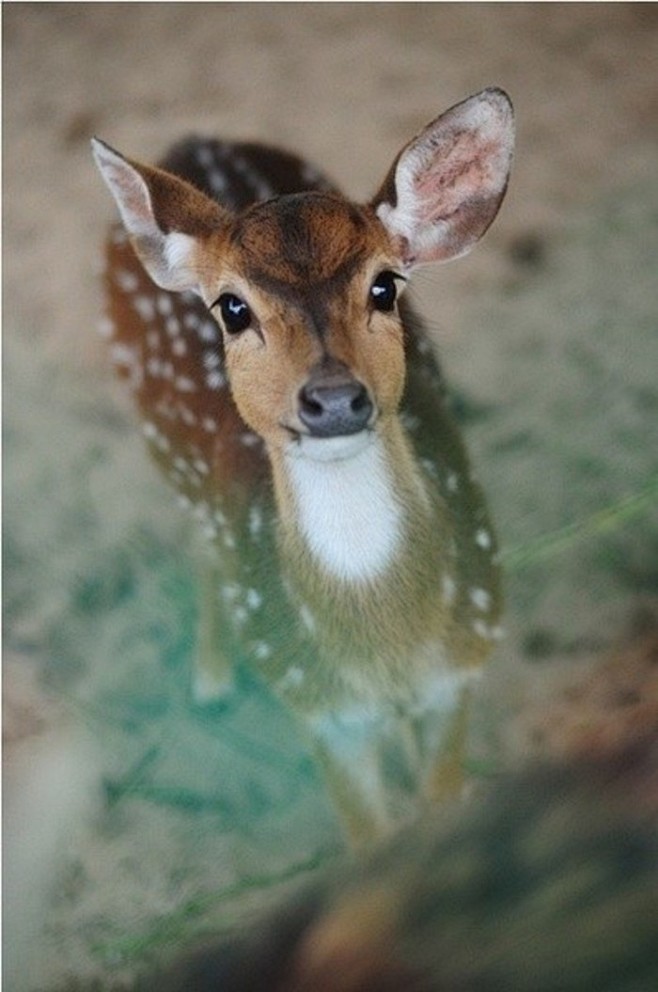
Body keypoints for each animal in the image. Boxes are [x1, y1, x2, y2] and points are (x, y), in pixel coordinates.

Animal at [92, 87, 512, 844]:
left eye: (385, 286)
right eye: (233, 308)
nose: (334, 398)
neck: (385, 647)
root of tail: (192, 141)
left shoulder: (461, 666)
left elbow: (440, 805)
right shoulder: (315, 707)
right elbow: (369, 840)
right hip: (158, 441)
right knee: (197, 537)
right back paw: (210, 679)